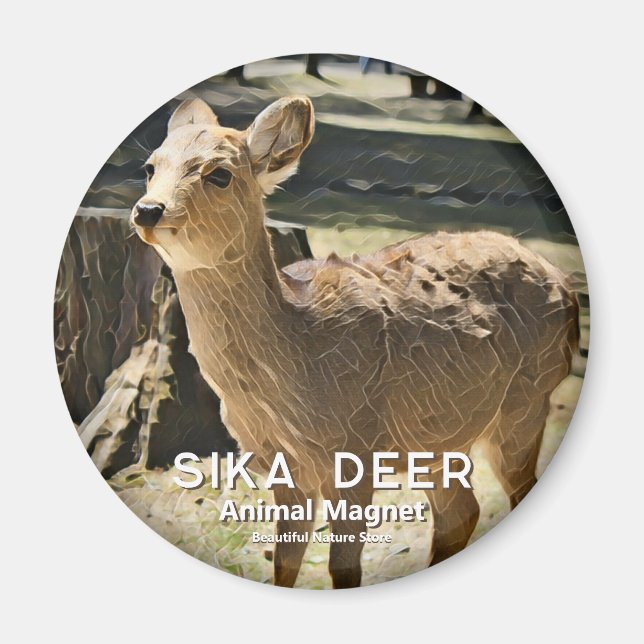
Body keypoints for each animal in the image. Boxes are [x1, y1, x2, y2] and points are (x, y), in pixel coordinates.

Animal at [130, 95, 579, 588]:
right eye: (150, 166)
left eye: (219, 174)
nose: (148, 210)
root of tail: (567, 284)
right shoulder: (284, 467)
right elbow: (284, 559)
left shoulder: (356, 448)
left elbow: (342, 566)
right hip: (442, 437)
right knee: (461, 511)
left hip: (527, 397)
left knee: (511, 490)